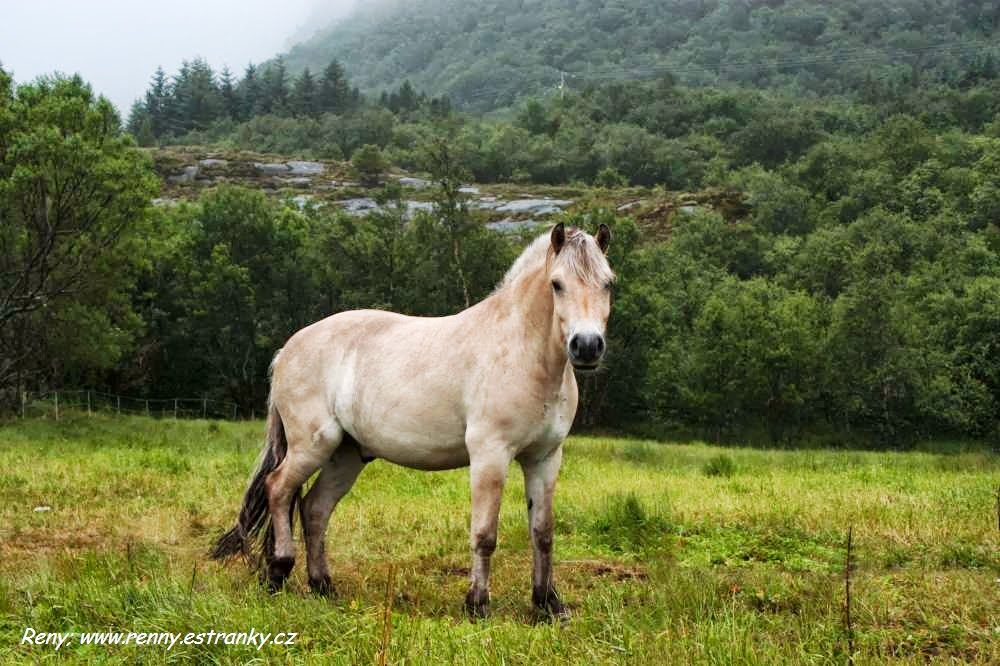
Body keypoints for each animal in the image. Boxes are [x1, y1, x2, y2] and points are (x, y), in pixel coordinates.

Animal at [214, 223, 612, 616]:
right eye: (557, 284)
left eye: (608, 283)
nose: (587, 346)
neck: (522, 352)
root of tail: (287, 350)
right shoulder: (490, 455)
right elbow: (484, 534)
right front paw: (477, 604)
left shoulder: (544, 458)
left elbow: (542, 533)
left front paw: (548, 604)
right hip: (311, 446)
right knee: (278, 489)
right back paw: (278, 573)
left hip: (346, 455)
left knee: (314, 508)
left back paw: (323, 586)